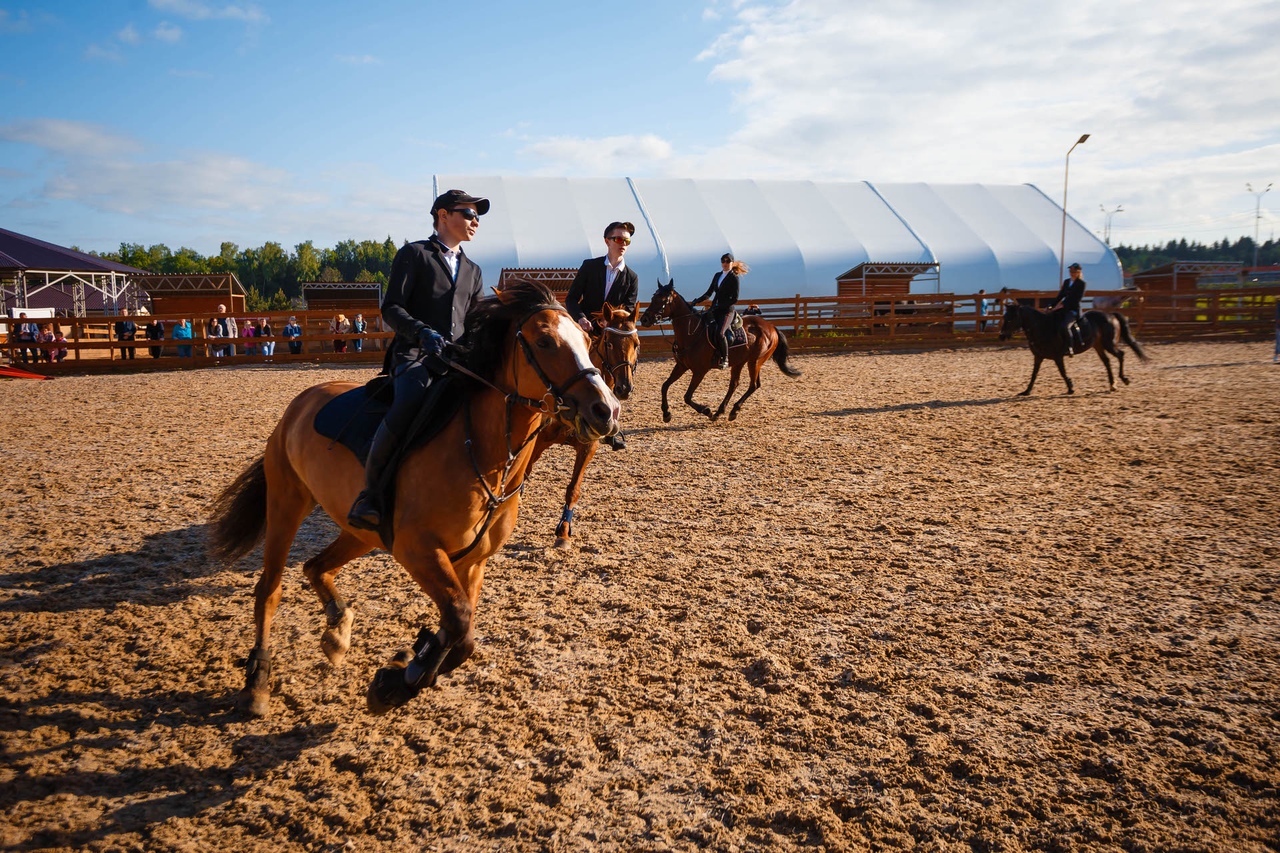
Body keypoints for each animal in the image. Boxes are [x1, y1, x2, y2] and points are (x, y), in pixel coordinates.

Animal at [206, 281, 619, 712]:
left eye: (588, 341)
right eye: (544, 341)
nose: (606, 410)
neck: (482, 452)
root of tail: (301, 402)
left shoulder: (472, 562)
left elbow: (462, 634)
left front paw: (406, 667)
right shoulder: (417, 550)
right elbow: (459, 622)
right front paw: (397, 680)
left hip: (361, 533)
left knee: (315, 567)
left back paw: (337, 631)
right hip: (286, 505)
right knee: (269, 590)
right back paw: (258, 680)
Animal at [524, 302, 640, 548]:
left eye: (636, 344)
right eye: (609, 343)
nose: (624, 388)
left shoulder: (588, 447)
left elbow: (573, 489)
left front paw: (564, 532)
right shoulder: (538, 442)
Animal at [640, 280, 798, 422]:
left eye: (662, 300)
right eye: (653, 298)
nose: (644, 319)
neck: (691, 333)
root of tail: (771, 327)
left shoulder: (699, 371)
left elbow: (687, 396)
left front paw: (706, 411)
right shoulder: (681, 366)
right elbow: (665, 386)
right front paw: (666, 413)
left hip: (755, 361)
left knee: (753, 385)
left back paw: (732, 411)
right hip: (740, 362)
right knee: (735, 384)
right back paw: (721, 411)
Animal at [998, 300, 1152, 397]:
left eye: (1010, 318)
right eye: (1005, 317)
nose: (1001, 336)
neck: (1043, 327)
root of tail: (1111, 315)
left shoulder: (1057, 357)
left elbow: (1062, 372)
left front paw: (1071, 387)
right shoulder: (1038, 357)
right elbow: (1034, 375)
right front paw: (1026, 391)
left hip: (1109, 344)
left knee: (1121, 355)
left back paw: (1123, 379)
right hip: (1098, 346)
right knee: (1107, 361)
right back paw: (1112, 385)